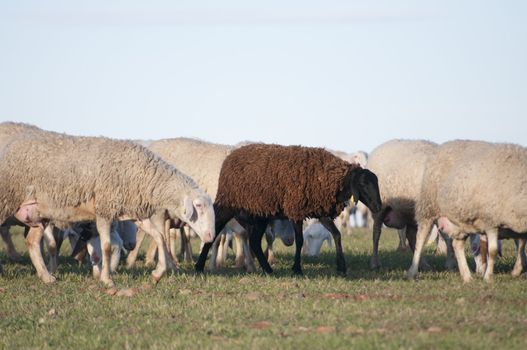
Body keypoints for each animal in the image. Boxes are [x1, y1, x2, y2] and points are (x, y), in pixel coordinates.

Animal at [0, 123, 216, 288]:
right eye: (198, 206)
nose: (210, 236)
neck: (144, 176)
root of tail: (12, 143)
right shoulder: (104, 210)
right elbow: (105, 246)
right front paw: (107, 279)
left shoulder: (135, 213)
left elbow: (160, 237)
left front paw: (157, 273)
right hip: (6, 200)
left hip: (38, 212)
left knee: (32, 242)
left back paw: (47, 277)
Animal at [196, 144, 382, 274]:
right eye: (363, 184)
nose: (378, 207)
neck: (329, 178)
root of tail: (230, 157)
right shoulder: (295, 209)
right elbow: (299, 240)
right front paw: (297, 268)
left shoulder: (320, 211)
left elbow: (336, 234)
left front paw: (341, 266)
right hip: (228, 205)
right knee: (216, 230)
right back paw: (199, 266)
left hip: (260, 214)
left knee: (254, 241)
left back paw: (268, 270)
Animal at [368, 139, 438, 270]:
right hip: (380, 207)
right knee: (376, 233)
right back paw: (374, 263)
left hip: (409, 212)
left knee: (412, 237)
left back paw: (423, 265)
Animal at [408, 139, 527, 282]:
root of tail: (445, 145)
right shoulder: (490, 220)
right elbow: (493, 250)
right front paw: (488, 278)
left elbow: (521, 246)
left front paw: (516, 270)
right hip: (429, 208)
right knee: (420, 240)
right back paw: (412, 272)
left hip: (459, 220)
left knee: (457, 245)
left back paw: (467, 276)